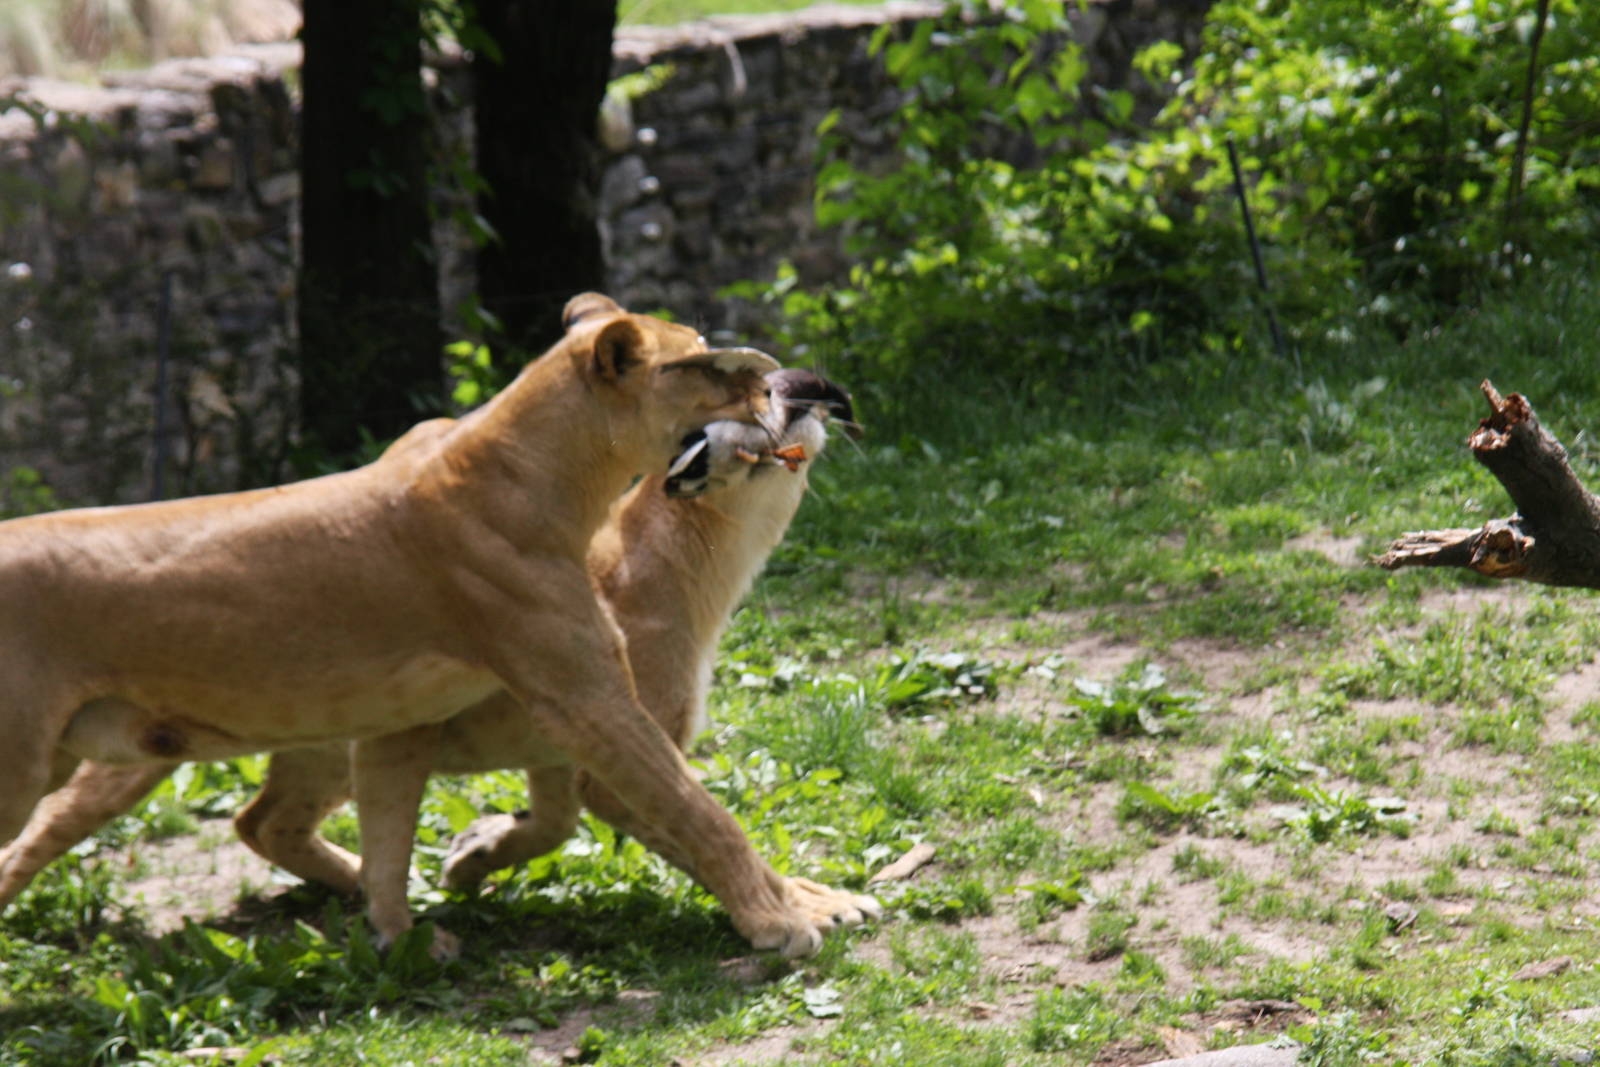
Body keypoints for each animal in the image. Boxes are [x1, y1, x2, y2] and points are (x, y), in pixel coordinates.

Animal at [0, 294, 858, 958]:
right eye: (705, 362)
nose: (789, 383)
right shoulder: (591, 700)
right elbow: (700, 813)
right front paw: (784, 920)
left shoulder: (440, 723)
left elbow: (438, 828)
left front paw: (417, 913)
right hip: (62, 765)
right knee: (33, 843)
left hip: (304, 738)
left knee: (265, 820)